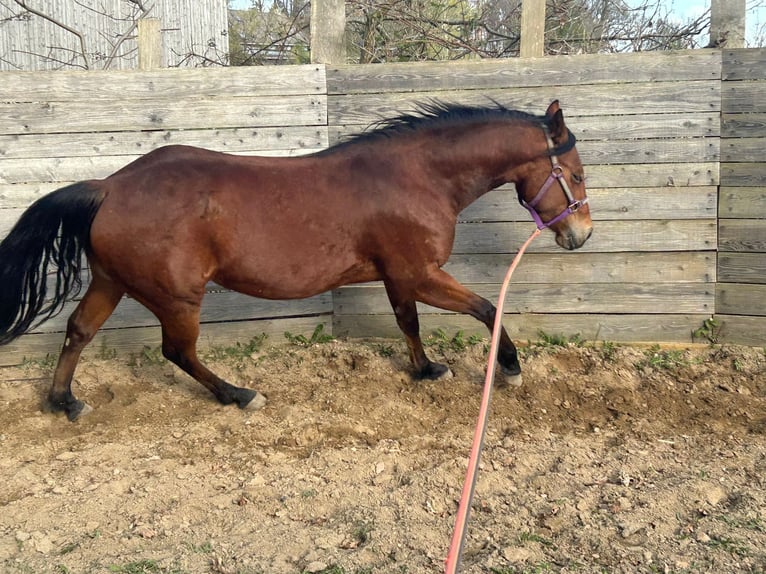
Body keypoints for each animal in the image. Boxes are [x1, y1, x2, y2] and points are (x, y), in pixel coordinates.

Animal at [0, 99, 592, 421]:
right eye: (577, 174)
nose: (581, 234)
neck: (416, 177)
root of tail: (110, 186)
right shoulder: (421, 273)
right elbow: (486, 308)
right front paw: (510, 368)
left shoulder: (398, 276)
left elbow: (408, 323)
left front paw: (425, 370)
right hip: (176, 296)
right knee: (177, 351)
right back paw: (240, 395)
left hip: (112, 281)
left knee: (78, 330)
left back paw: (64, 402)